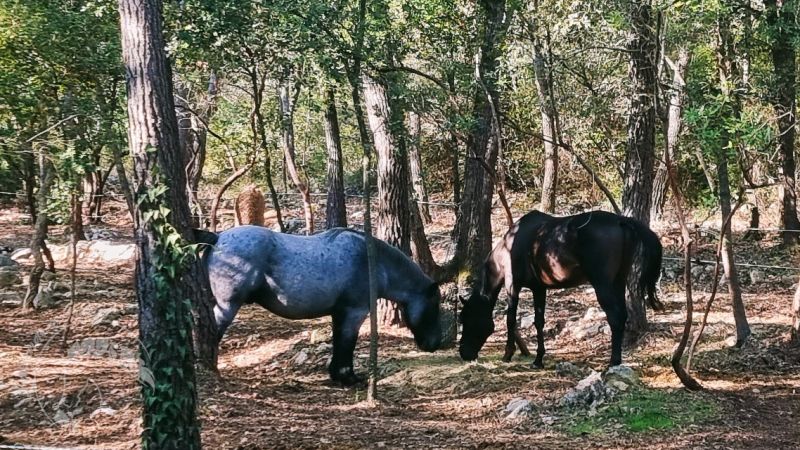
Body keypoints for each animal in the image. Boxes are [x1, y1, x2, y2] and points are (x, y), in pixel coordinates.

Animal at [195, 227, 444, 384]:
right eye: (435, 307)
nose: (434, 344)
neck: (374, 262)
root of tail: (218, 237)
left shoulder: (339, 314)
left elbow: (338, 341)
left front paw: (336, 375)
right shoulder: (355, 313)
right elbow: (347, 343)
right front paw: (348, 377)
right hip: (227, 306)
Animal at [456, 209, 664, 368]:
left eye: (467, 318)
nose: (464, 353)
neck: (510, 247)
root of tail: (621, 221)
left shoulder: (512, 286)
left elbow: (510, 320)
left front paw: (508, 354)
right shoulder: (539, 288)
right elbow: (539, 322)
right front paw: (538, 359)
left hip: (603, 284)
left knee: (615, 317)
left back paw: (613, 361)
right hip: (618, 281)